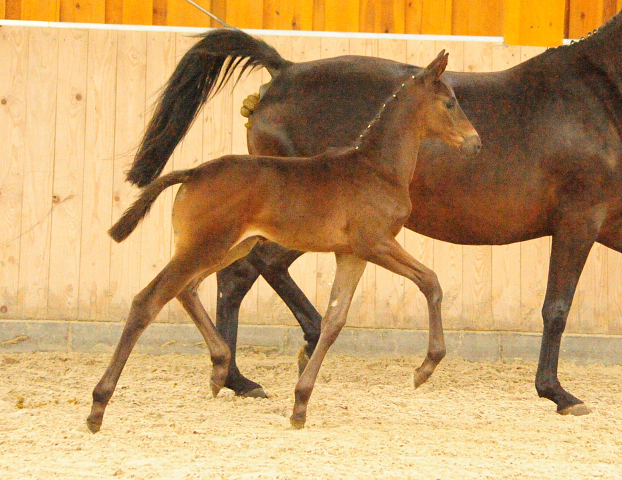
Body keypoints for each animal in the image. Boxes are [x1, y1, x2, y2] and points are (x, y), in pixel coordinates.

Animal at [85, 50, 480, 434]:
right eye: (449, 103)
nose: (475, 142)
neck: (376, 167)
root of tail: (194, 172)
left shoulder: (350, 254)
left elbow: (334, 321)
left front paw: (300, 405)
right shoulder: (376, 243)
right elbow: (431, 281)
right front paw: (425, 368)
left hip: (227, 247)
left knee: (186, 289)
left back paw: (219, 368)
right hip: (205, 246)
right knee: (147, 301)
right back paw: (98, 407)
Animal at [124, 12, 622, 416]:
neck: (602, 97)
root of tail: (283, 72)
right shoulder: (579, 219)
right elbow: (557, 307)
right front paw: (558, 393)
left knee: (252, 272)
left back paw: (262, 365)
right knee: (242, 274)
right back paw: (244, 373)